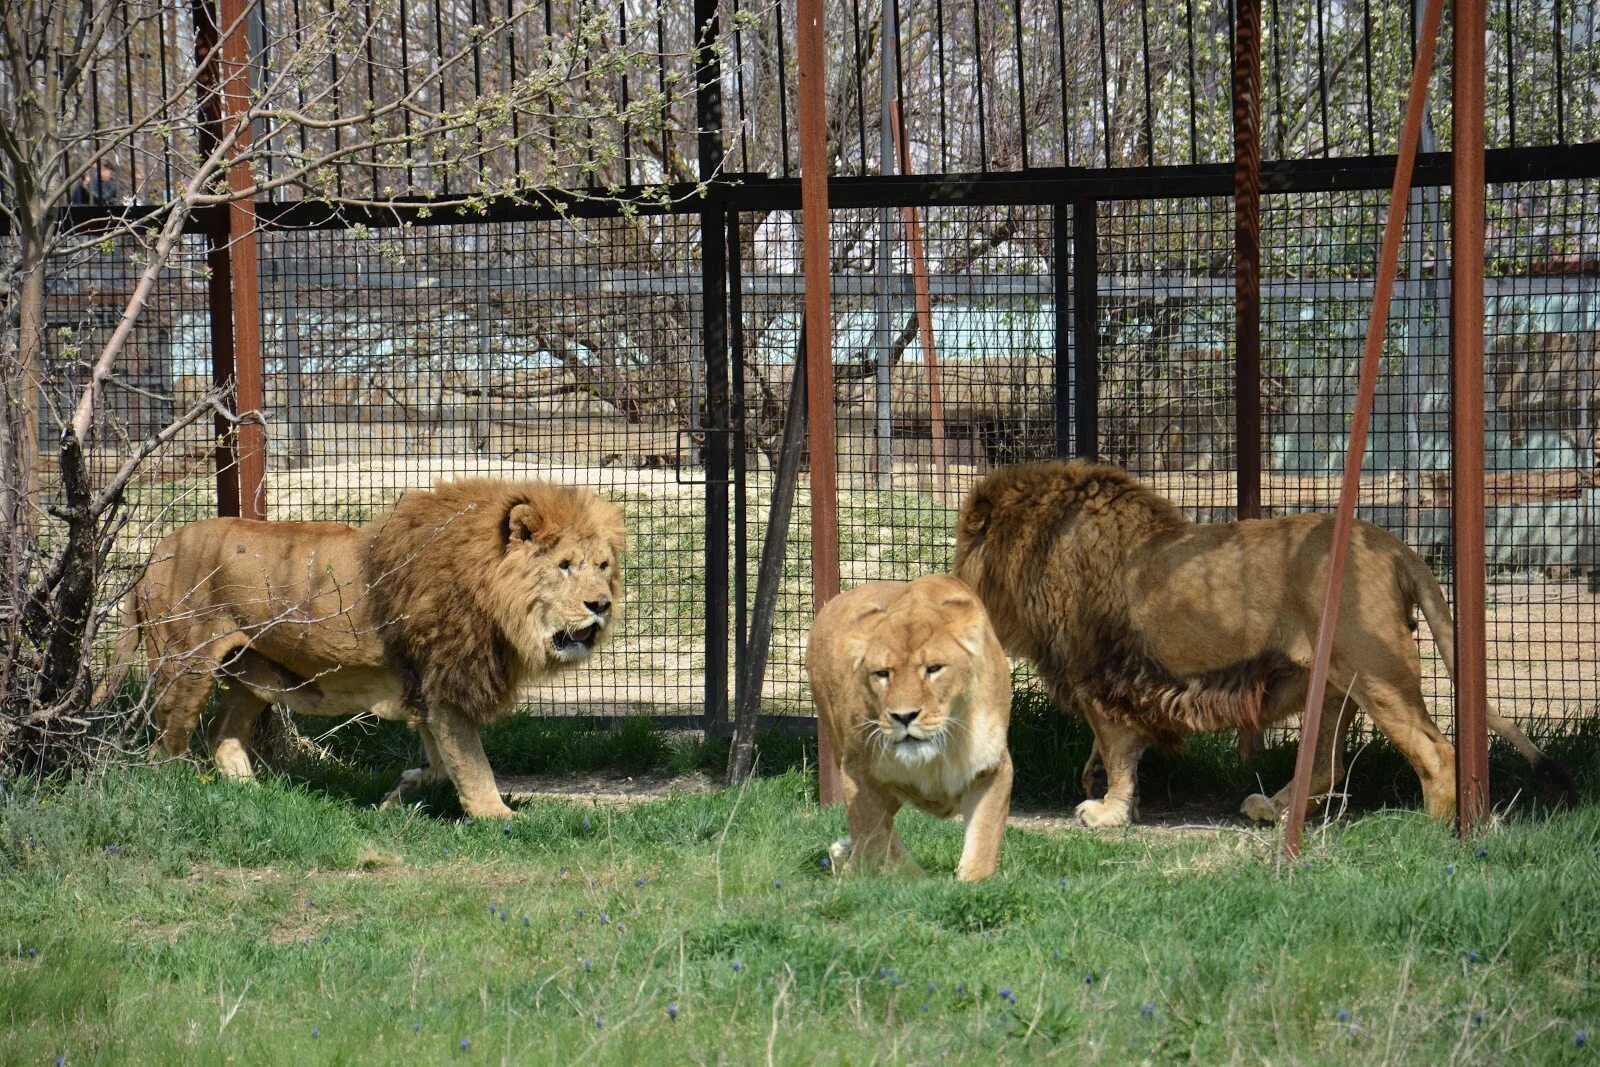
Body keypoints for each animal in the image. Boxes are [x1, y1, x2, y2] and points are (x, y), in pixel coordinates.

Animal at [101, 476, 624, 819]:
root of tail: (154, 553)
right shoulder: (445, 683)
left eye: (602, 566)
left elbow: (442, 764)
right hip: (184, 665)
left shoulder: (424, 689)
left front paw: (398, 795)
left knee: (221, 735)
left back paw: (255, 794)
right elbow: (472, 763)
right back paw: (177, 793)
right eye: (564, 565)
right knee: (164, 749)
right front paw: (499, 818)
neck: (494, 593)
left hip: (247, 670)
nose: (601, 604)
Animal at [806, 575, 1017, 883]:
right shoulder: (857, 770)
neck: (943, 748)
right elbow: (871, 832)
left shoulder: (992, 768)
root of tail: (832, 601)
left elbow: (984, 837)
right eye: (882, 674)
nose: (903, 716)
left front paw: (974, 881)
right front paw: (871, 881)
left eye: (934, 668)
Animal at [947, 460, 1574, 825]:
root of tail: (1395, 545)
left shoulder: (1101, 679)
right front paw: (1100, 785)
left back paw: (1437, 834)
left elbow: (1121, 752)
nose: (950, 580)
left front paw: (1105, 812)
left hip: (1377, 673)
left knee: (1436, 752)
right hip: (1337, 686)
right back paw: (1271, 809)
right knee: (1326, 766)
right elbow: (1111, 754)